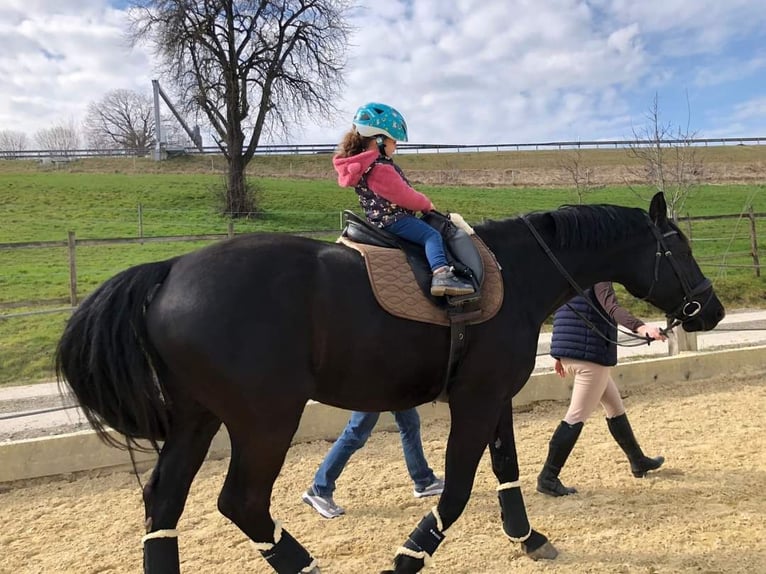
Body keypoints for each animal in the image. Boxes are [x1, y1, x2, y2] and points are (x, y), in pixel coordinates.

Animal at [55, 195, 728, 574]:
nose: (712, 310)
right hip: (264, 420)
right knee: (240, 502)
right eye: (678, 247)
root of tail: (170, 270)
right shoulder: (475, 401)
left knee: (164, 501)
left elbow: (505, 470)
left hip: (198, 419)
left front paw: (528, 537)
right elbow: (456, 491)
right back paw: (303, 564)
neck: (514, 273)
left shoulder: (493, 397)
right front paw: (410, 555)